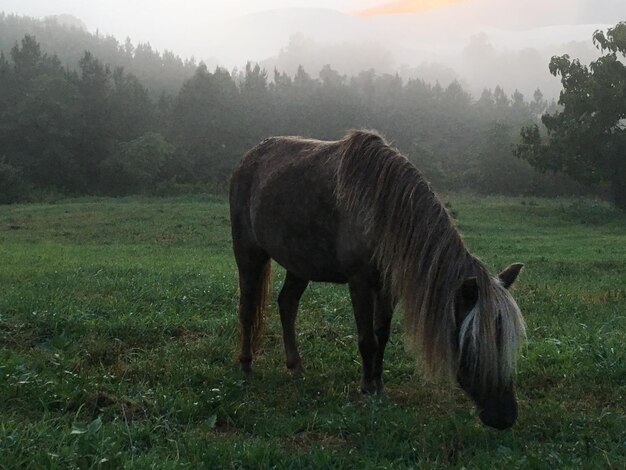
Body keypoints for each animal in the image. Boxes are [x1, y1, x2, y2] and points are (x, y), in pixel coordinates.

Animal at [227, 129, 524, 430]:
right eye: (475, 344)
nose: (505, 416)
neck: (382, 211)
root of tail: (248, 159)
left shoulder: (387, 286)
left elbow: (382, 334)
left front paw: (378, 385)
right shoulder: (359, 282)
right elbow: (366, 338)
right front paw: (367, 387)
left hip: (299, 264)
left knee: (287, 304)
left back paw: (296, 367)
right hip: (248, 252)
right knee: (247, 308)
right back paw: (246, 364)